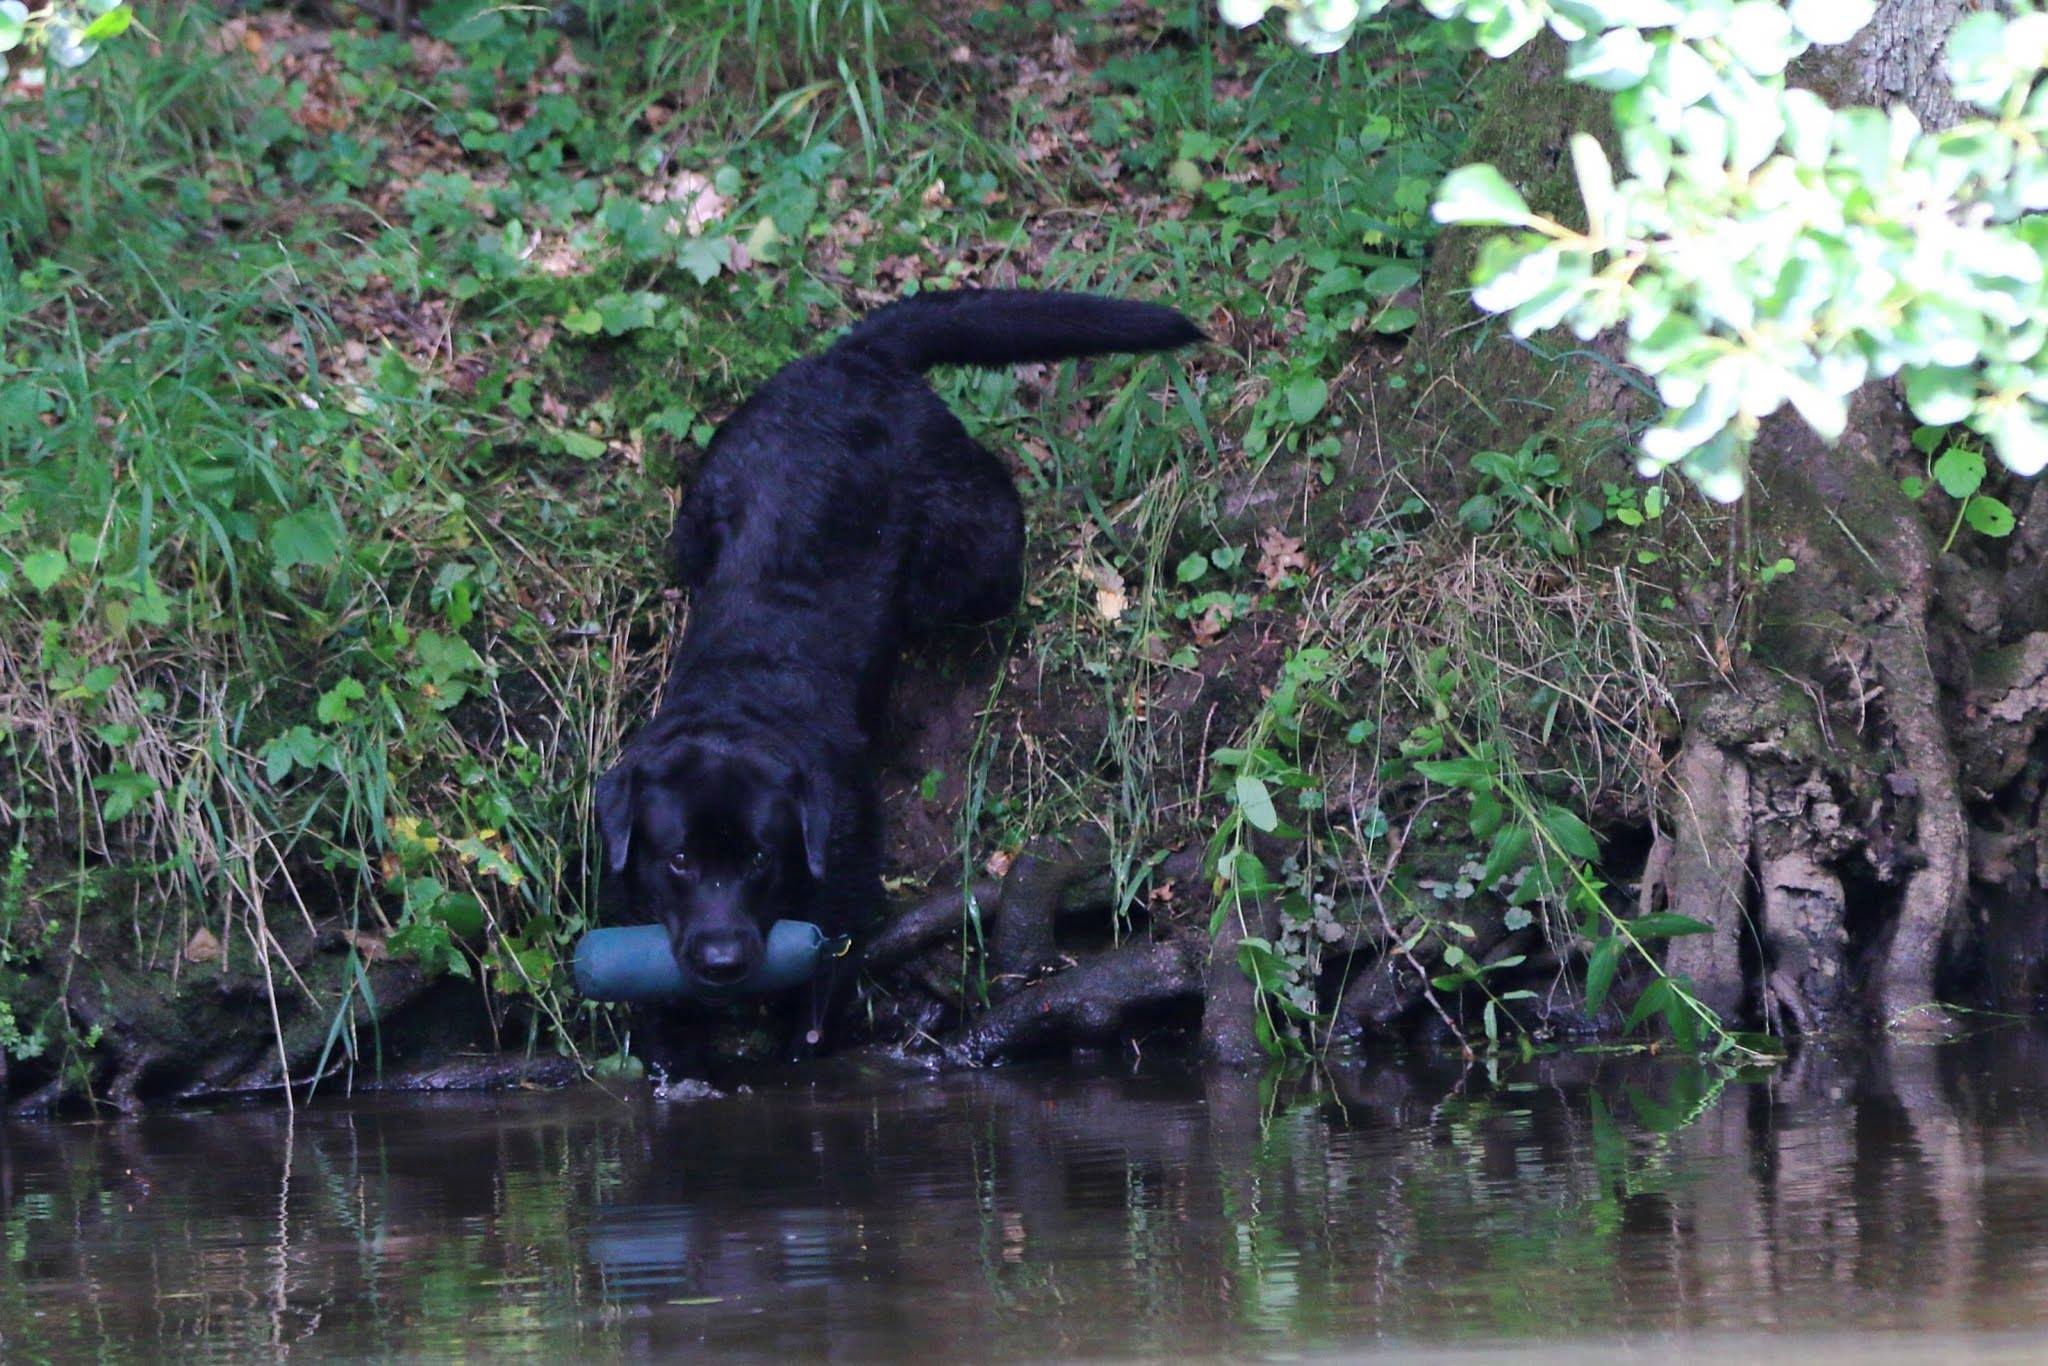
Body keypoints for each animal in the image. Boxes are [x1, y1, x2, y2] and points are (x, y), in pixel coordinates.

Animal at [593, 288, 1196, 1015]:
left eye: (761, 859)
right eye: (678, 861)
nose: (722, 958)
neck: (739, 695)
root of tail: (856, 357)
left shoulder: (848, 877)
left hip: (976, 554)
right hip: (694, 521)